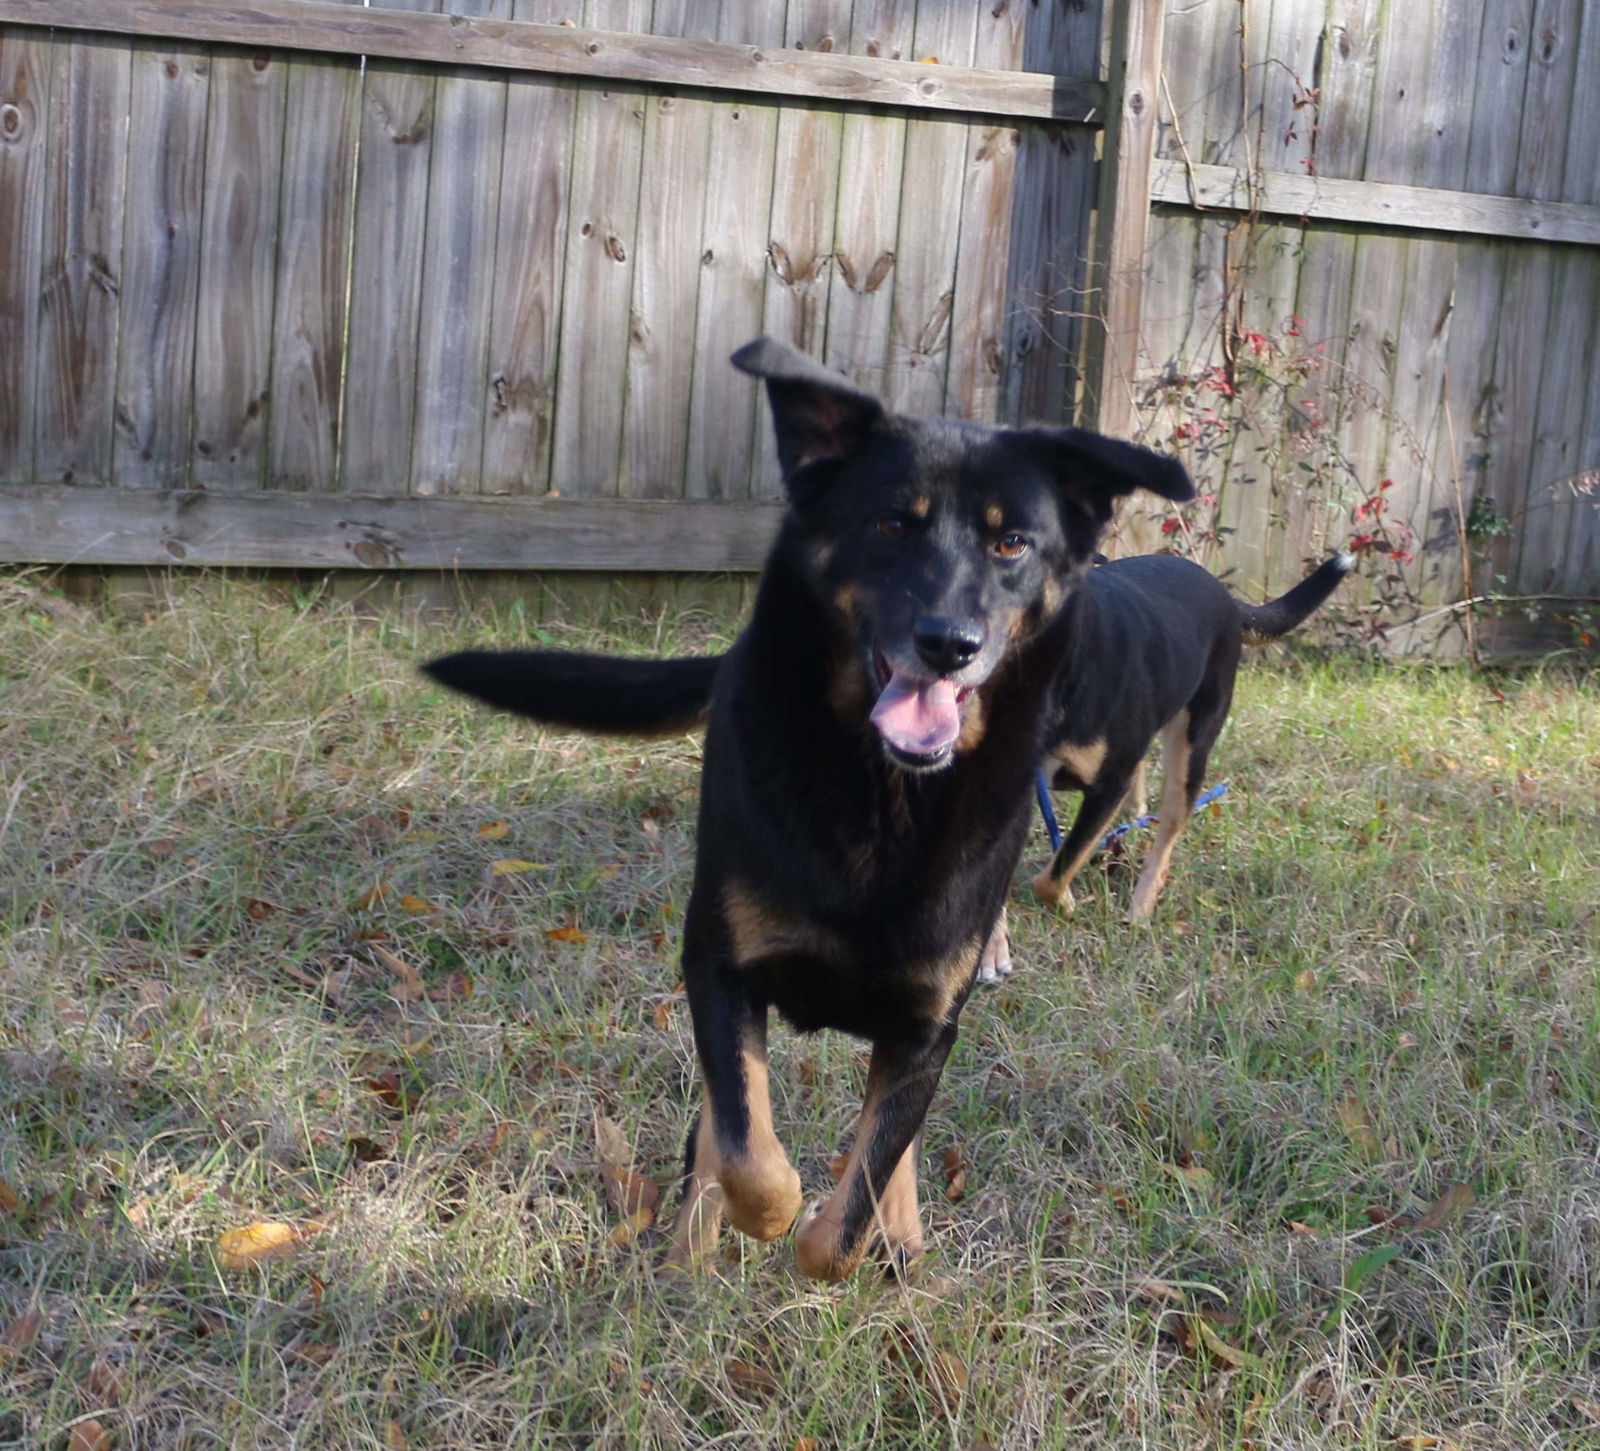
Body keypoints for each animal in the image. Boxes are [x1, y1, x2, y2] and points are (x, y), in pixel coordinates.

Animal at [419, 340, 1196, 1279]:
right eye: (893, 524)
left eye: (1012, 541)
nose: (950, 643)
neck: (881, 798)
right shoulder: (718, 964)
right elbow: (747, 1152)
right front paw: (747, 1213)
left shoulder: (928, 1021)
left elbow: (853, 1201)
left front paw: (858, 1230)